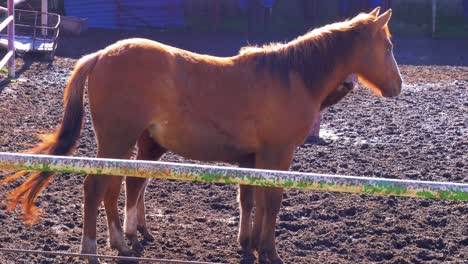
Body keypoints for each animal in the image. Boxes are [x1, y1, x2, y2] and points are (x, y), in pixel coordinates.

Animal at [1, 7, 400, 262]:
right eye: (389, 46)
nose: (397, 85)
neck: (291, 77)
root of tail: (99, 55)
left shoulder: (254, 158)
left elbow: (251, 200)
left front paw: (250, 244)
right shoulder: (278, 155)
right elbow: (271, 202)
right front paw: (269, 251)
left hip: (124, 144)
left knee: (113, 188)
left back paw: (122, 242)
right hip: (117, 140)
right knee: (95, 188)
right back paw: (93, 250)